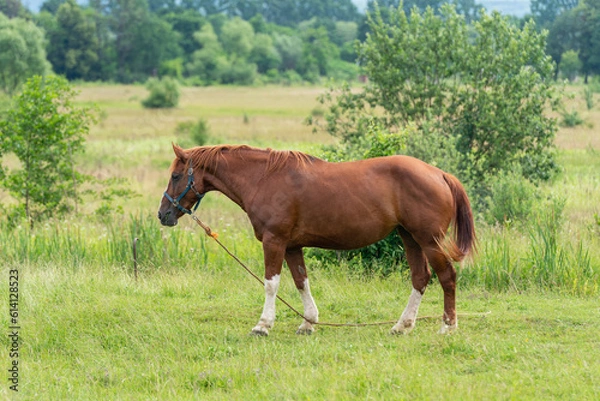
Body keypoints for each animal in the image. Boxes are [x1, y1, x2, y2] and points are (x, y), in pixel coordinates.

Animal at [157, 144, 476, 334]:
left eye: (175, 176)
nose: (163, 214)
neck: (264, 178)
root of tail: (439, 174)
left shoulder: (274, 241)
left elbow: (271, 284)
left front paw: (263, 324)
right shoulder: (292, 246)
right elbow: (301, 281)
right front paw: (308, 322)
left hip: (429, 240)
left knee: (447, 276)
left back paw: (448, 326)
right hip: (409, 238)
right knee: (420, 277)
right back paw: (402, 325)